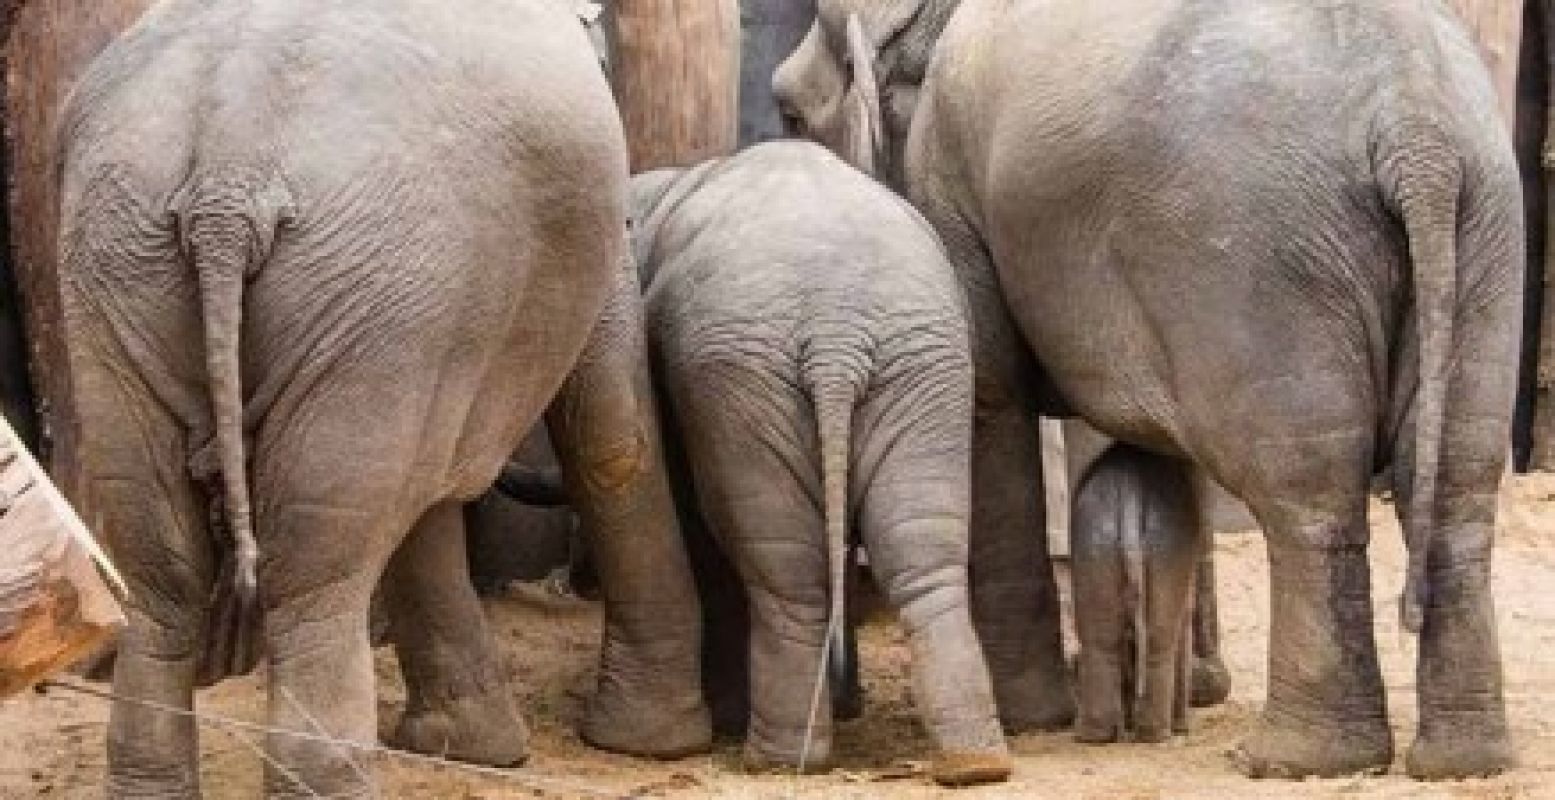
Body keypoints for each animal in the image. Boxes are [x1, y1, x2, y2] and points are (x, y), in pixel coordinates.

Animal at [56, 3, 712, 793]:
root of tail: (227, 184)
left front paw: (465, 749)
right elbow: (610, 435)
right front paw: (653, 748)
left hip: (122, 263)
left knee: (165, 571)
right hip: (364, 281)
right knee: (315, 581)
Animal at [625, 140, 1013, 781]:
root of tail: (838, 335)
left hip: (747, 377)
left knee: (784, 569)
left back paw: (778, 759)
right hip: (925, 365)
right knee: (923, 551)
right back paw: (975, 763)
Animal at [1069, 438, 1200, 737]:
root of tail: (1130, 492)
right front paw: (1182, 728)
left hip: (1094, 540)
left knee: (1102, 639)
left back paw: (1095, 736)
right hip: (1164, 542)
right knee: (1159, 640)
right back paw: (1158, 734)